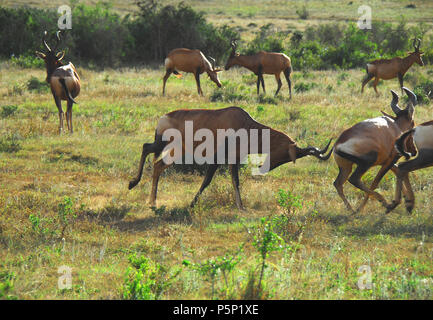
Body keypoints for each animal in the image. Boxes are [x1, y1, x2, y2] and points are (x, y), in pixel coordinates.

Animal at [128, 106, 330, 209]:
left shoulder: (234, 160)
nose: (264, 168)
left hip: (176, 150)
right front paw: (192, 204)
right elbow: (207, 180)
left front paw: (241, 207)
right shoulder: (217, 158)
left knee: (158, 165)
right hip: (163, 143)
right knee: (146, 148)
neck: (244, 123)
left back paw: (153, 202)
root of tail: (163, 117)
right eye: (288, 156)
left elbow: (236, 182)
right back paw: (133, 184)